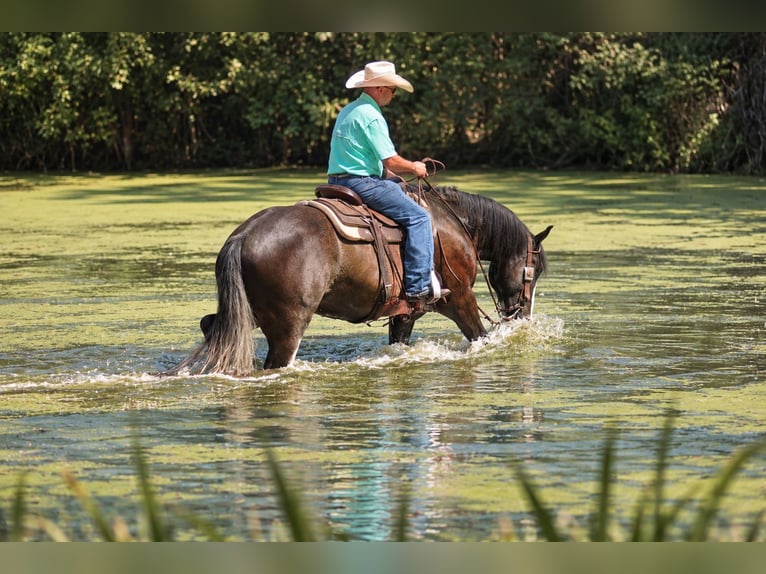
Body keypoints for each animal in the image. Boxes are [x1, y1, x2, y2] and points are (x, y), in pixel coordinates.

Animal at [169, 184, 552, 376]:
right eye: (533, 271)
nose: (522, 315)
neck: (455, 225)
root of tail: (244, 234)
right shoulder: (459, 299)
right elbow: (480, 338)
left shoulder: (405, 314)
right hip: (287, 326)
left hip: (247, 314)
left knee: (212, 327)